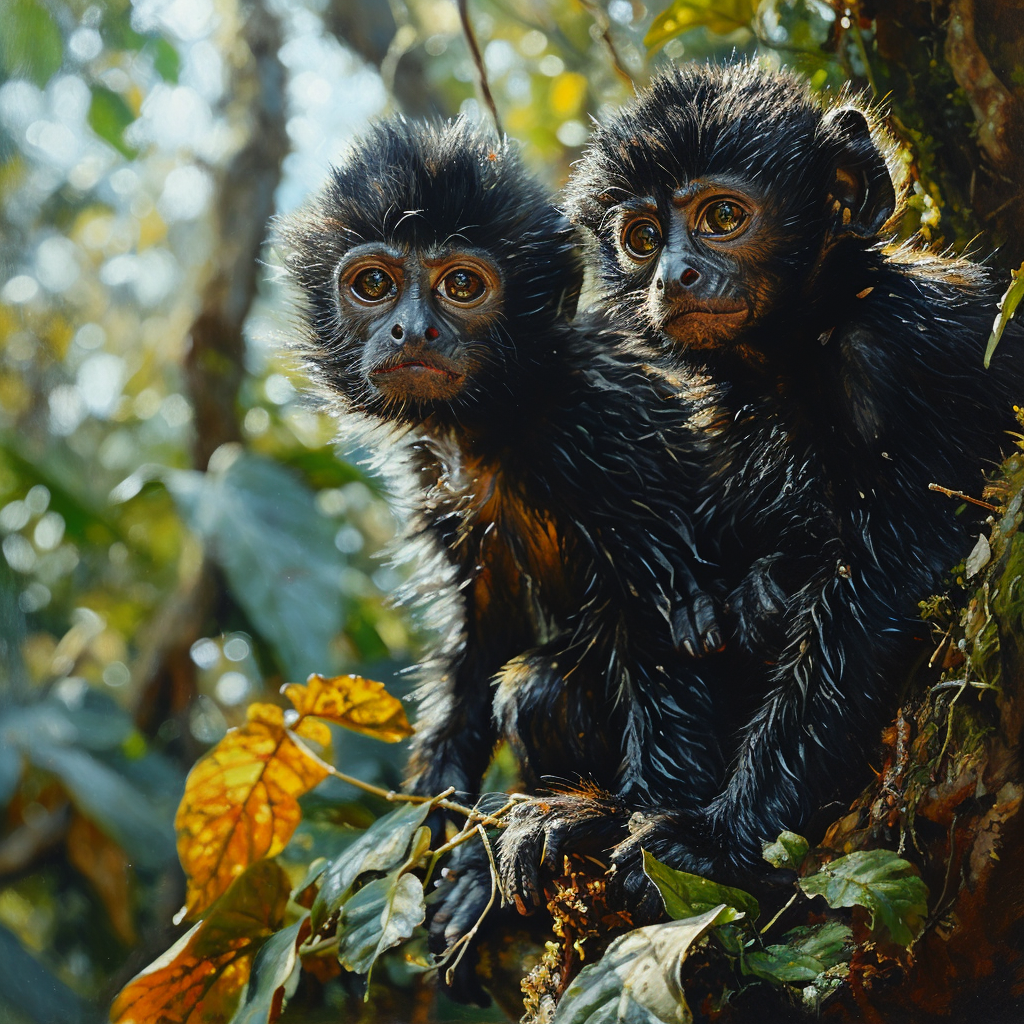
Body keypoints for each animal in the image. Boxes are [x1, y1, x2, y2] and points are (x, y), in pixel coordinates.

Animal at [280, 117, 729, 999]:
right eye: (374, 284)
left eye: (462, 285)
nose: (411, 332)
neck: (500, 423)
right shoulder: (438, 480)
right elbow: (476, 643)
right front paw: (441, 843)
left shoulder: (612, 428)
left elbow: (679, 626)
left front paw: (616, 835)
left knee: (537, 685)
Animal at [495, 59, 1024, 913]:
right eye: (642, 239)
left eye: (722, 216)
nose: (673, 275)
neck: (797, 353)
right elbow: (665, 607)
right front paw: (593, 817)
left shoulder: (901, 350)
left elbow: (875, 584)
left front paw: (715, 841)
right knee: (535, 688)